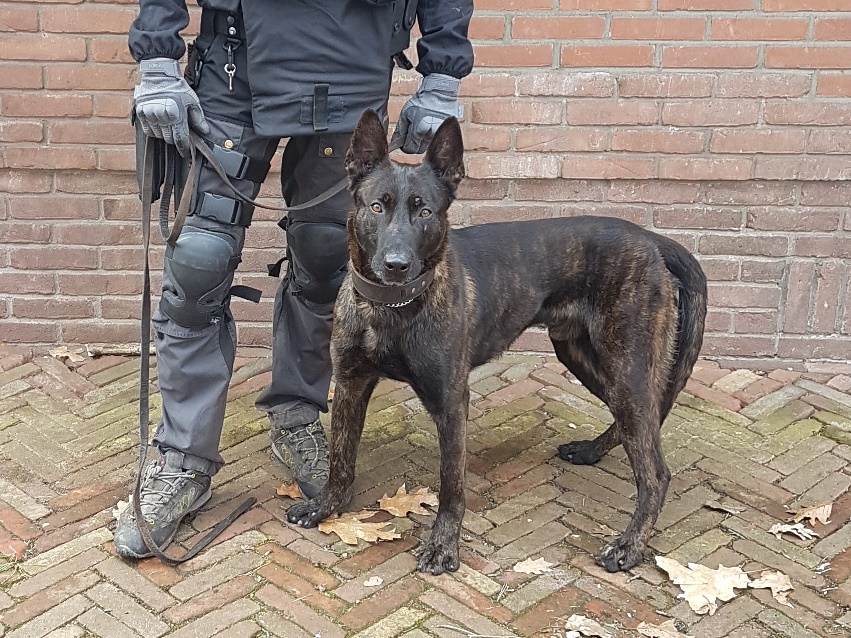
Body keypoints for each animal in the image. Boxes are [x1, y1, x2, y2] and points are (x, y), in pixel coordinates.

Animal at [287, 110, 707, 574]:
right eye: (377, 206)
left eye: (425, 211)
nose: (396, 265)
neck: (393, 307)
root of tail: (654, 241)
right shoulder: (350, 385)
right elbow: (341, 460)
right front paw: (326, 506)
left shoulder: (451, 402)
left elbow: (451, 484)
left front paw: (443, 546)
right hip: (586, 358)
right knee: (634, 429)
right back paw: (592, 451)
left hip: (626, 368)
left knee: (655, 471)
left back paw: (629, 546)